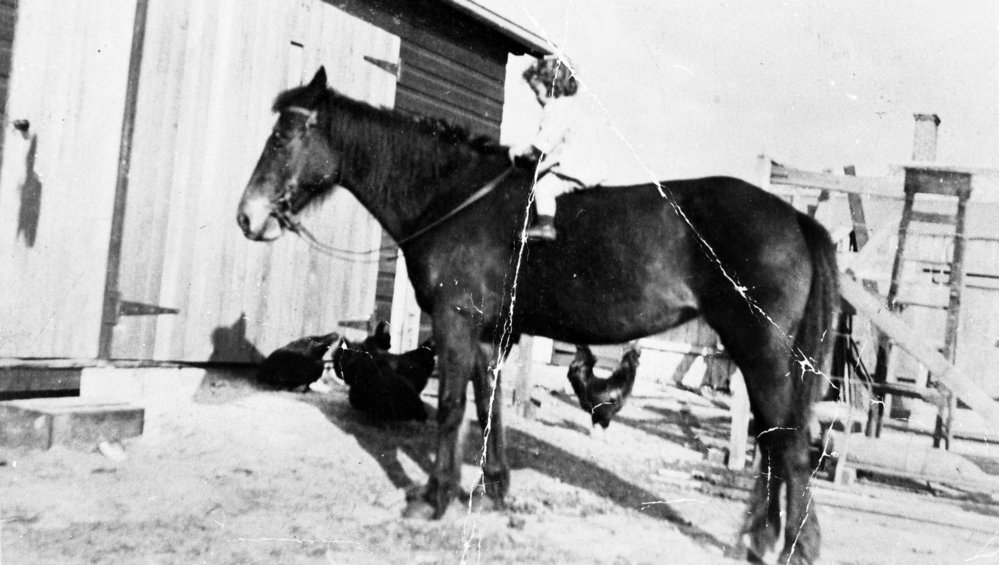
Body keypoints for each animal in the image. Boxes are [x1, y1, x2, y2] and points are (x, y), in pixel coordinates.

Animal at [237, 67, 838, 564]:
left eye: (283, 137)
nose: (247, 216)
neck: (452, 198)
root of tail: (793, 218)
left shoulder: (455, 322)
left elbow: (451, 406)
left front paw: (434, 497)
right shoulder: (485, 332)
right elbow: (488, 404)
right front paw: (493, 489)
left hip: (761, 351)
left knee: (787, 443)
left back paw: (793, 546)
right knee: (773, 440)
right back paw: (765, 539)